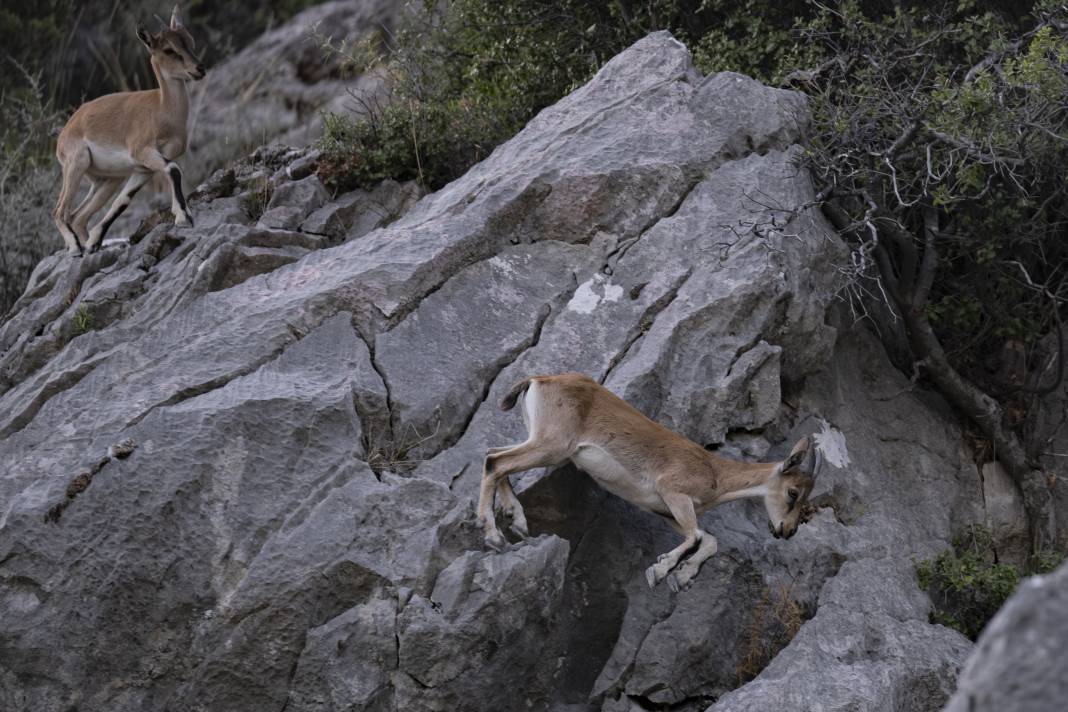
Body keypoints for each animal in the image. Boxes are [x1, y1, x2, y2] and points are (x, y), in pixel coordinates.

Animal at [53, 4, 203, 256]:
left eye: (190, 41)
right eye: (169, 49)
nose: (199, 69)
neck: (160, 110)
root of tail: (66, 130)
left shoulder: (143, 169)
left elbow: (122, 202)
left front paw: (95, 240)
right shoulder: (145, 153)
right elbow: (173, 169)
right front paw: (184, 217)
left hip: (107, 180)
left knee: (78, 217)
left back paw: (88, 245)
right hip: (76, 165)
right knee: (59, 211)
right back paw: (75, 247)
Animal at [480, 375, 820, 593]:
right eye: (793, 493)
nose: (787, 531)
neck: (715, 473)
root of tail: (539, 380)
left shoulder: (664, 511)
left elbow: (708, 540)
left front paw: (682, 578)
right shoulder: (673, 492)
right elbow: (697, 536)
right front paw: (660, 570)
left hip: (541, 440)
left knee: (494, 456)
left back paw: (516, 520)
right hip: (553, 444)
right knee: (496, 462)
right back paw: (494, 536)